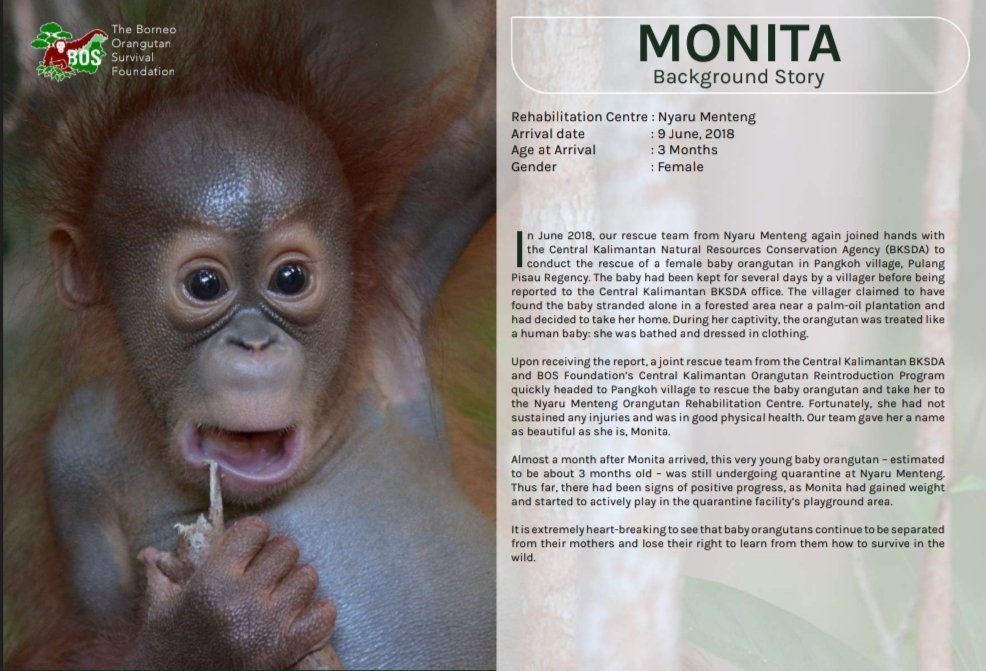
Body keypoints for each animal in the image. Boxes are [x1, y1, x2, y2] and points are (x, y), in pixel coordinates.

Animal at [3, 2, 495, 669]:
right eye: (205, 284)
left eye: (291, 278)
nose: (255, 343)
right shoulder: (72, 453)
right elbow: (93, 635)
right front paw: (219, 620)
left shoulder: (397, 271)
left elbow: (481, 130)